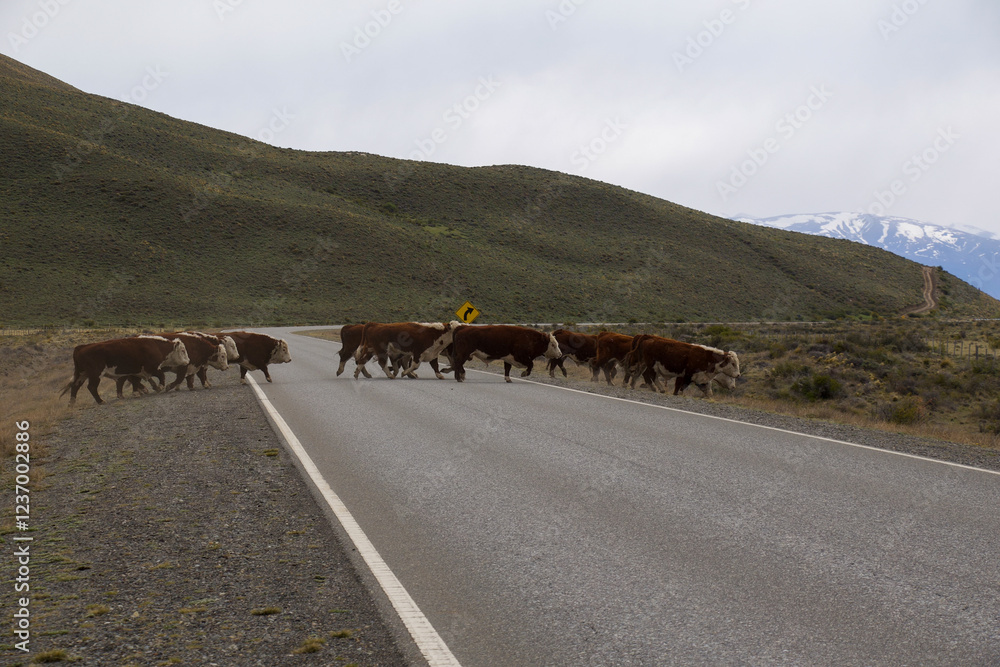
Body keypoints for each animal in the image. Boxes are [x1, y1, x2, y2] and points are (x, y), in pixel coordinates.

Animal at [59, 335, 190, 405]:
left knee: (75, 386)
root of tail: (81, 347)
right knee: (91, 387)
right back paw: (100, 401)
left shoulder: (137, 371)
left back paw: (71, 403)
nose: (188, 361)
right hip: (95, 375)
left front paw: (136, 393)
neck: (155, 346)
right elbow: (161, 376)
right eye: (183, 350)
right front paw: (159, 387)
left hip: (82, 374)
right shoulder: (152, 368)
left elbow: (135, 382)